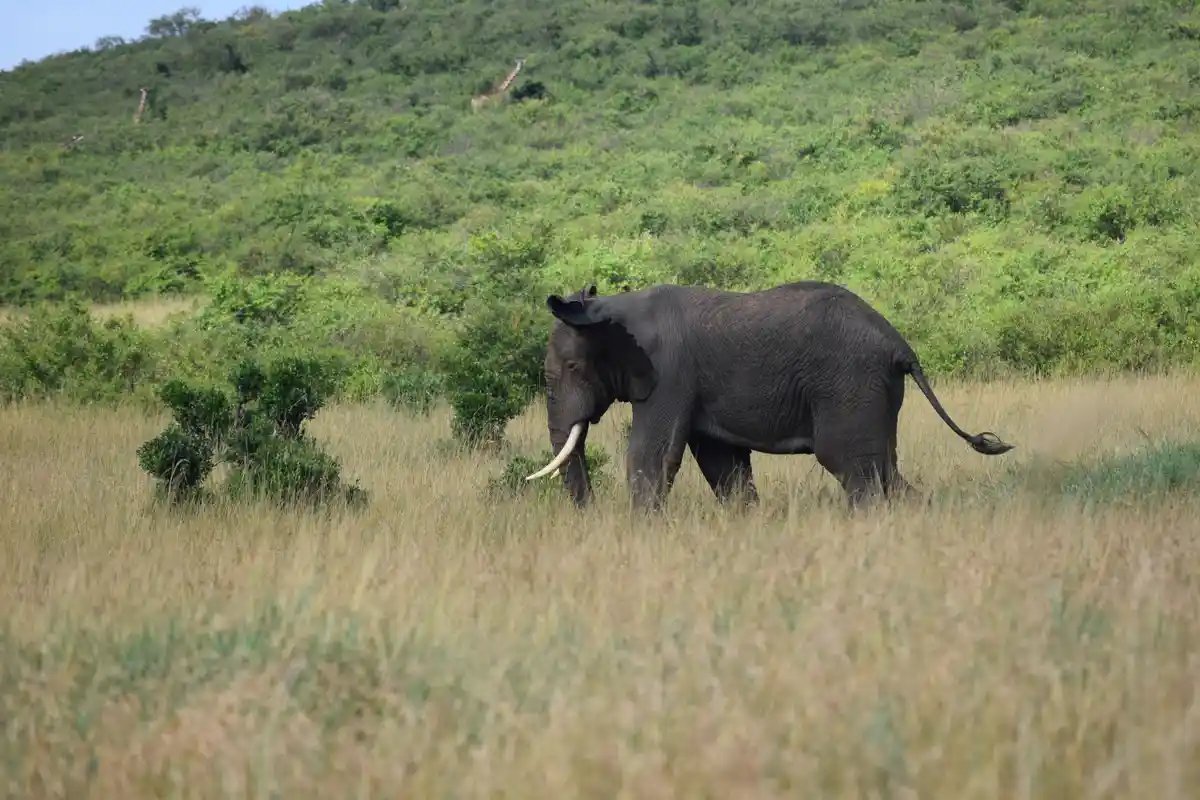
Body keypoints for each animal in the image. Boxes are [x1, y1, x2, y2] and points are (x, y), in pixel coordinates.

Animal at [525, 280, 1015, 511]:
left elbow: (652, 455)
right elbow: (722, 463)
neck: (612, 308)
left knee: (854, 468)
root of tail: (900, 344)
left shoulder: (670, 374)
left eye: (572, 369)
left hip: (850, 385)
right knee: (884, 471)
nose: (590, 514)